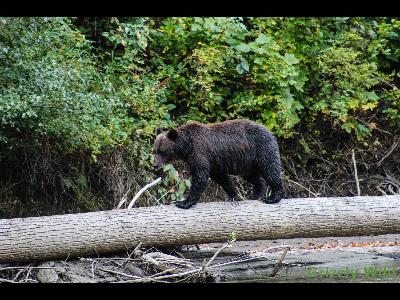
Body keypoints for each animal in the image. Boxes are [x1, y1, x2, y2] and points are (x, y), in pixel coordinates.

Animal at [152, 119, 282, 209]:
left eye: (162, 151)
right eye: (154, 150)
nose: (155, 164)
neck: (186, 146)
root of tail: (270, 132)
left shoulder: (200, 152)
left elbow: (200, 175)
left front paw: (184, 202)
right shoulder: (214, 162)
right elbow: (220, 178)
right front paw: (232, 195)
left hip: (262, 148)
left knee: (271, 169)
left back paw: (273, 197)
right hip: (246, 162)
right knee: (254, 176)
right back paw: (256, 194)